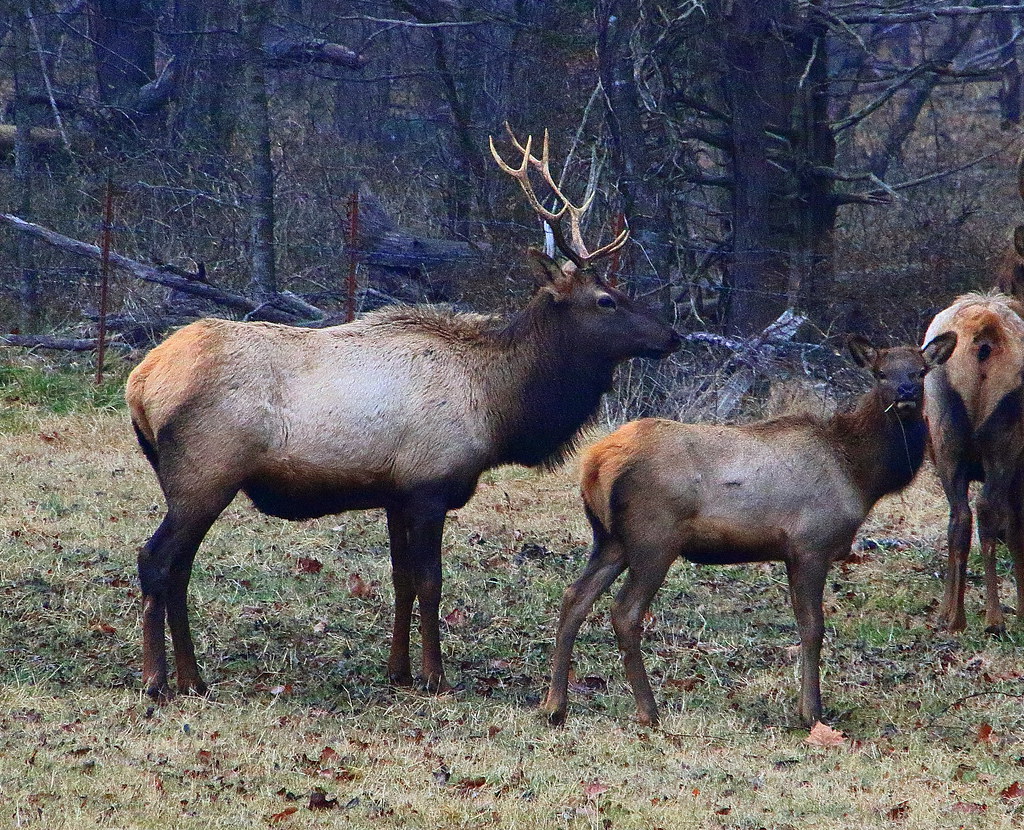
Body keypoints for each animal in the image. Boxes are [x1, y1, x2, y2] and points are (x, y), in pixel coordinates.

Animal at [125, 128, 681, 702]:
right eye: (605, 299)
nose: (673, 336)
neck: (498, 406)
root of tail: (140, 381)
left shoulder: (395, 492)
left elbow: (400, 580)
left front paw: (398, 669)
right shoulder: (429, 485)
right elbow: (430, 582)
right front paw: (436, 676)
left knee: (179, 568)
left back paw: (192, 678)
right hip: (205, 473)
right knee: (155, 560)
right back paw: (156, 680)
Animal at [540, 333, 957, 727]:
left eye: (920, 372)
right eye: (880, 373)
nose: (905, 393)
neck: (860, 475)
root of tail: (594, 463)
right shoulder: (811, 543)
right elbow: (813, 627)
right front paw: (811, 712)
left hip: (611, 539)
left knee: (575, 596)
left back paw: (555, 706)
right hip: (654, 537)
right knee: (624, 611)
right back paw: (647, 710)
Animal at [924, 292, 1024, 634]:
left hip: (947, 439)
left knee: (961, 516)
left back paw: (954, 617)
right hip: (1004, 439)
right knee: (984, 511)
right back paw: (992, 618)